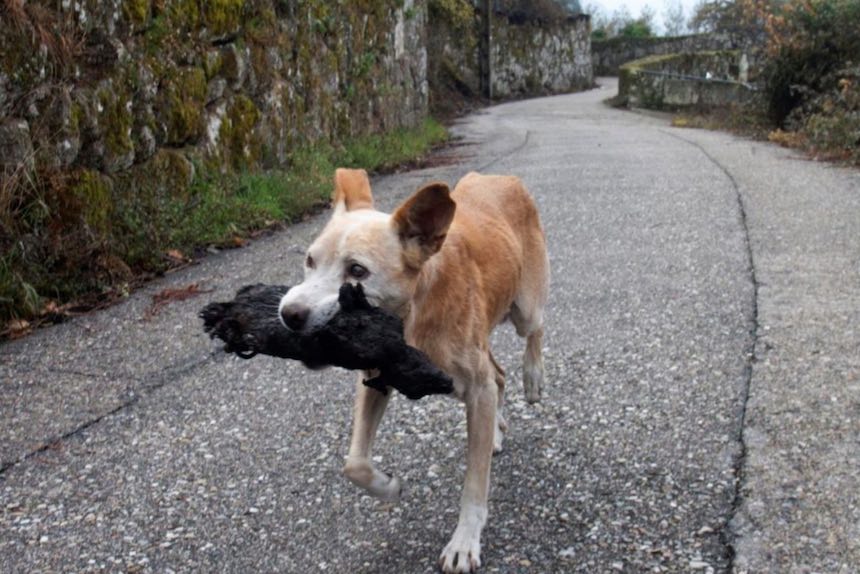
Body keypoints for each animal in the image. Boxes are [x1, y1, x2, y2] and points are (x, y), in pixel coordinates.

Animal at [282, 169, 552, 572]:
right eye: (310, 261)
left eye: (357, 270)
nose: (289, 314)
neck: (413, 313)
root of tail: (499, 177)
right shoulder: (374, 379)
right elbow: (354, 464)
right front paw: (388, 486)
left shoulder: (476, 388)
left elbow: (475, 485)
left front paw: (464, 541)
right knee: (499, 376)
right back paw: (495, 433)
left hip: (524, 307)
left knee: (534, 330)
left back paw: (533, 377)